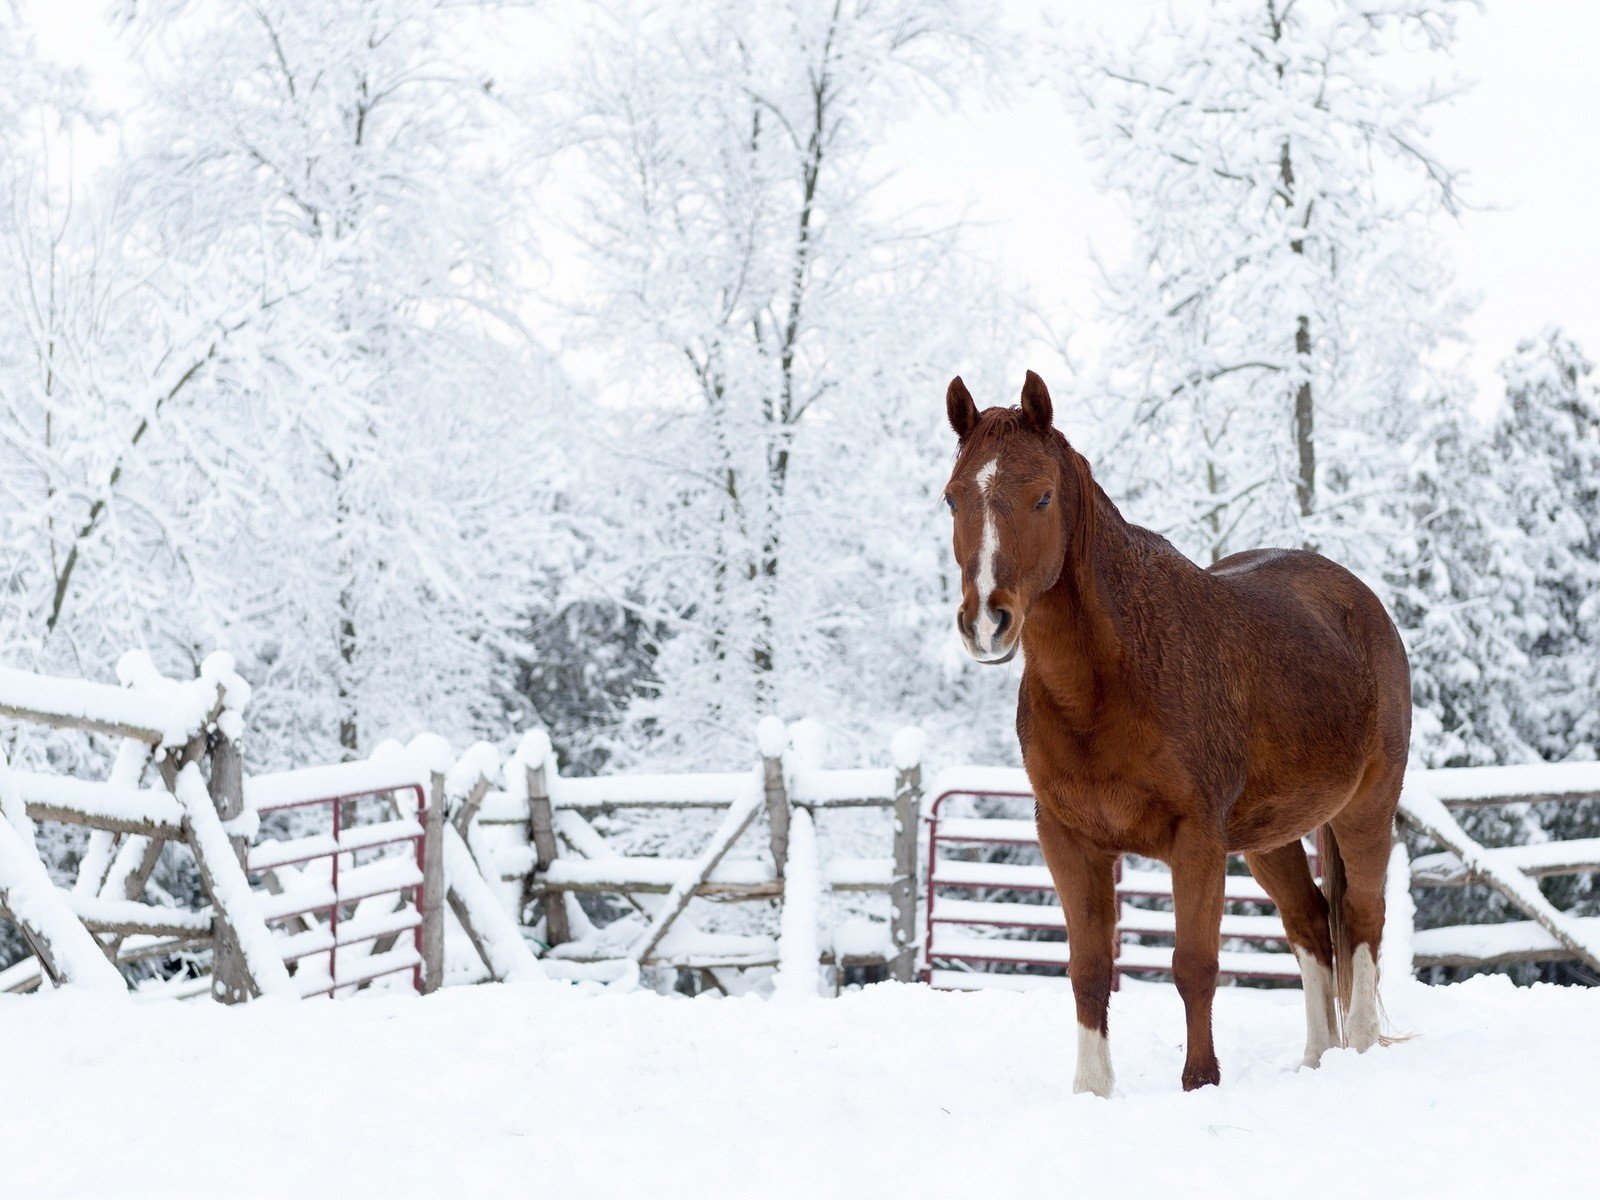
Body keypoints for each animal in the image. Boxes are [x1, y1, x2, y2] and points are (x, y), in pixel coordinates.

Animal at [940, 371, 1408, 1094]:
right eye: (952, 498)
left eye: (1041, 495)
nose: (987, 622)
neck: (1109, 681)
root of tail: (1360, 601)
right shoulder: (1069, 840)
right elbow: (1089, 970)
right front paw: (1092, 1090)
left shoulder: (1197, 840)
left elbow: (1194, 966)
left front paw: (1200, 1083)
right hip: (1269, 837)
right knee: (1309, 923)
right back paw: (1316, 1058)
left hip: (1366, 808)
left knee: (1361, 920)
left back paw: (1355, 1052)